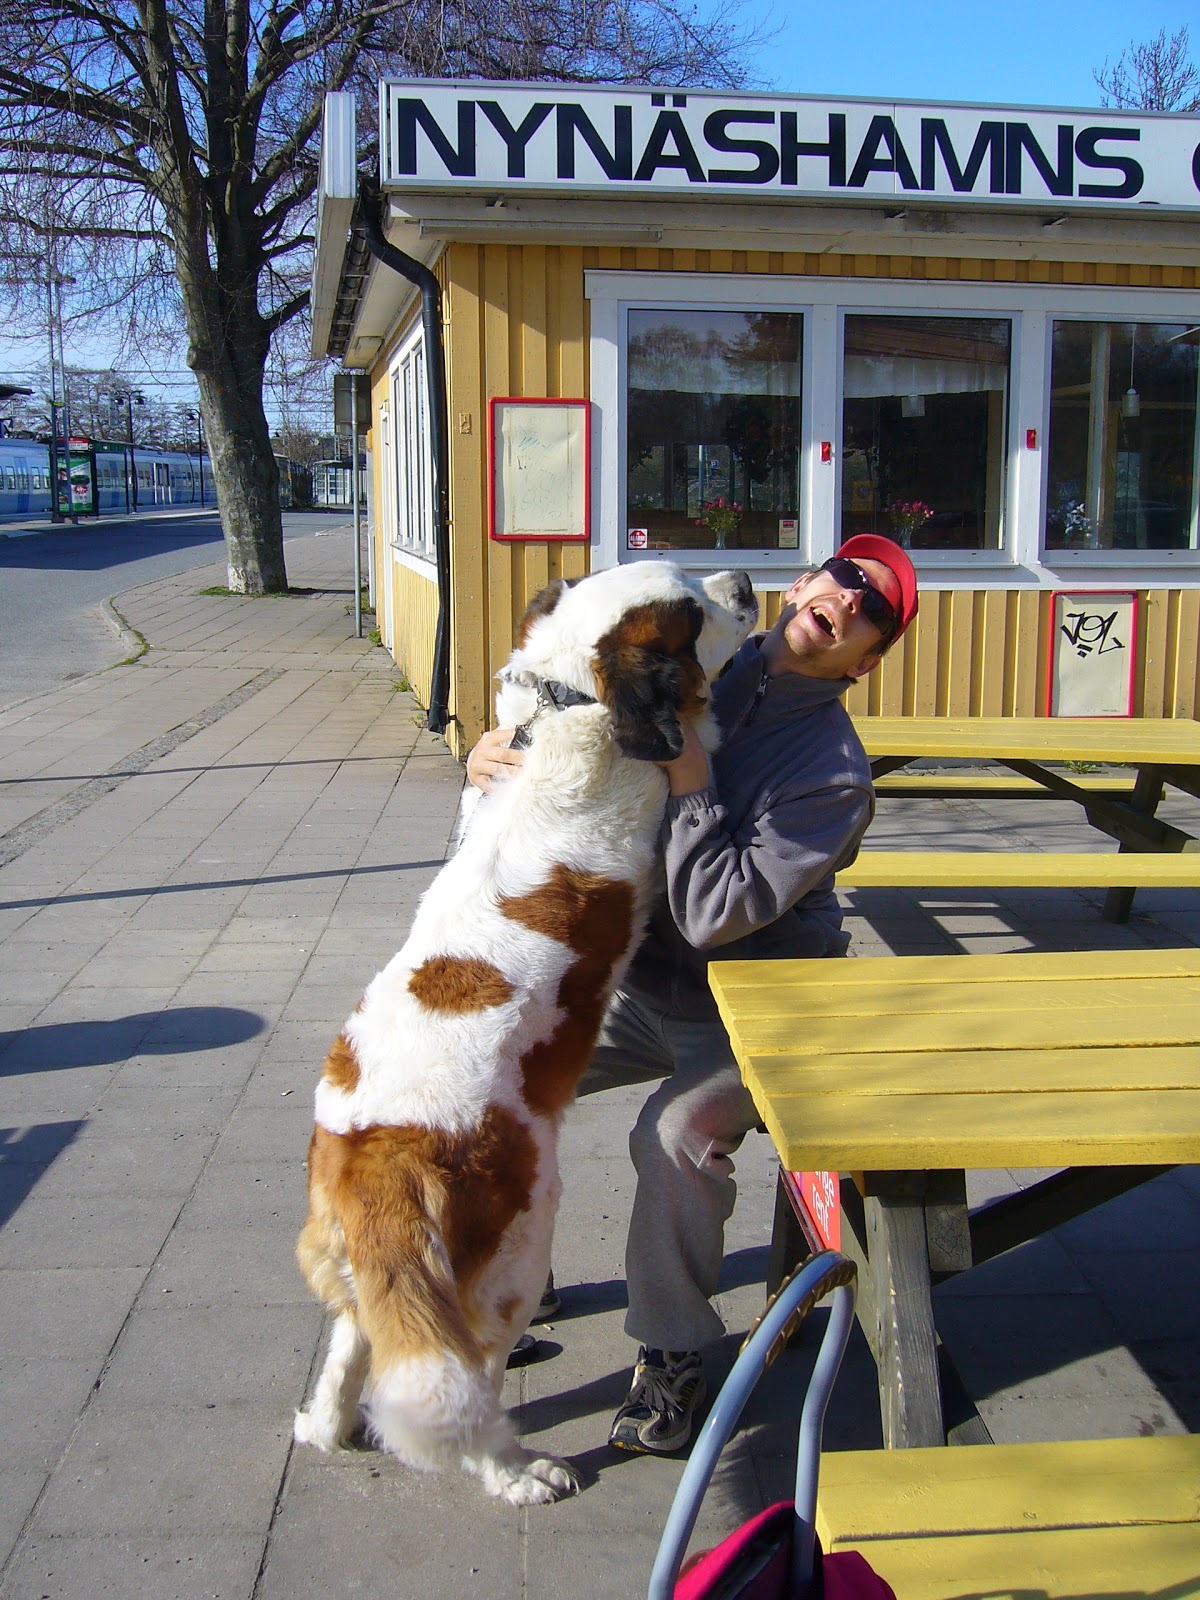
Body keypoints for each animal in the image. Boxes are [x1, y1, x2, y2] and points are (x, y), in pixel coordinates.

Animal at [294, 560, 757, 1504]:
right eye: (694, 614)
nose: (746, 579)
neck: (572, 699)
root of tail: (377, 1152)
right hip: (520, 1233)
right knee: (466, 1380)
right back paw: (517, 1473)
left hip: (361, 1256)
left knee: (359, 1340)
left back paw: (330, 1425)